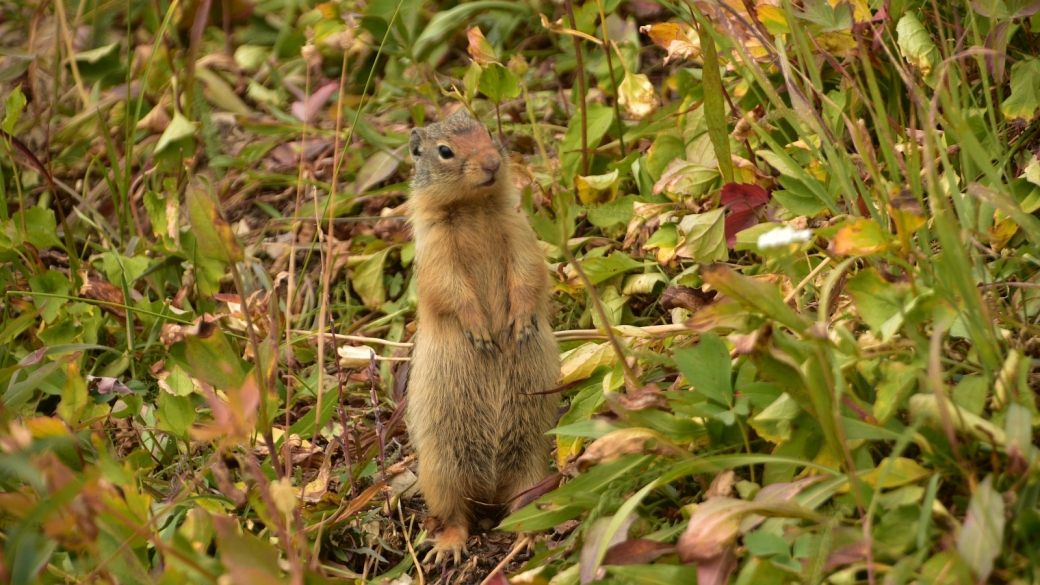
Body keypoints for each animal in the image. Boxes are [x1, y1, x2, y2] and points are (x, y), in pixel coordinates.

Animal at [401, 108, 561, 562]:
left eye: (488, 131)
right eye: (444, 151)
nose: (491, 162)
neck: (473, 208)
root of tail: (489, 492)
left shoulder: (519, 231)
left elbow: (528, 271)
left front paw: (519, 325)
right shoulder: (436, 251)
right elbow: (450, 290)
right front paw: (482, 333)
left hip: (533, 463)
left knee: (523, 506)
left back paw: (528, 537)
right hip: (440, 472)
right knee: (455, 517)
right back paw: (448, 548)